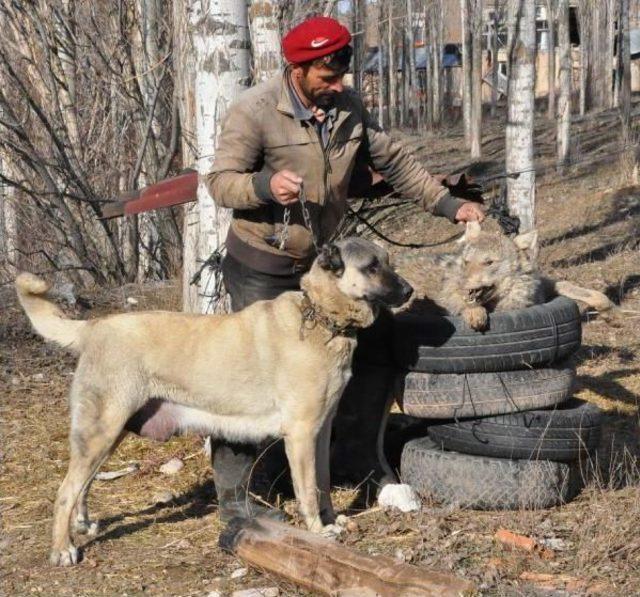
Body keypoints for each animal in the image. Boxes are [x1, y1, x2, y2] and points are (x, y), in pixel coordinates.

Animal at [17, 236, 416, 564]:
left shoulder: (320, 432)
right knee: (66, 491)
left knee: (82, 485)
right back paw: (63, 549)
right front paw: (318, 532)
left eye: (388, 260)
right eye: (372, 266)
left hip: (107, 434)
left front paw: (333, 520)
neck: (320, 318)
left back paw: (83, 525)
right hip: (102, 429)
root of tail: (94, 327)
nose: (410, 290)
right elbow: (307, 490)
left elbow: (322, 483)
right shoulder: (302, 434)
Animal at [436, 220, 616, 328]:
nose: (460, 283)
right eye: (466, 262)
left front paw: (609, 312)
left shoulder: (543, 286)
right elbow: (460, 303)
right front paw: (474, 312)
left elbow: (582, 291)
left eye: (489, 262)